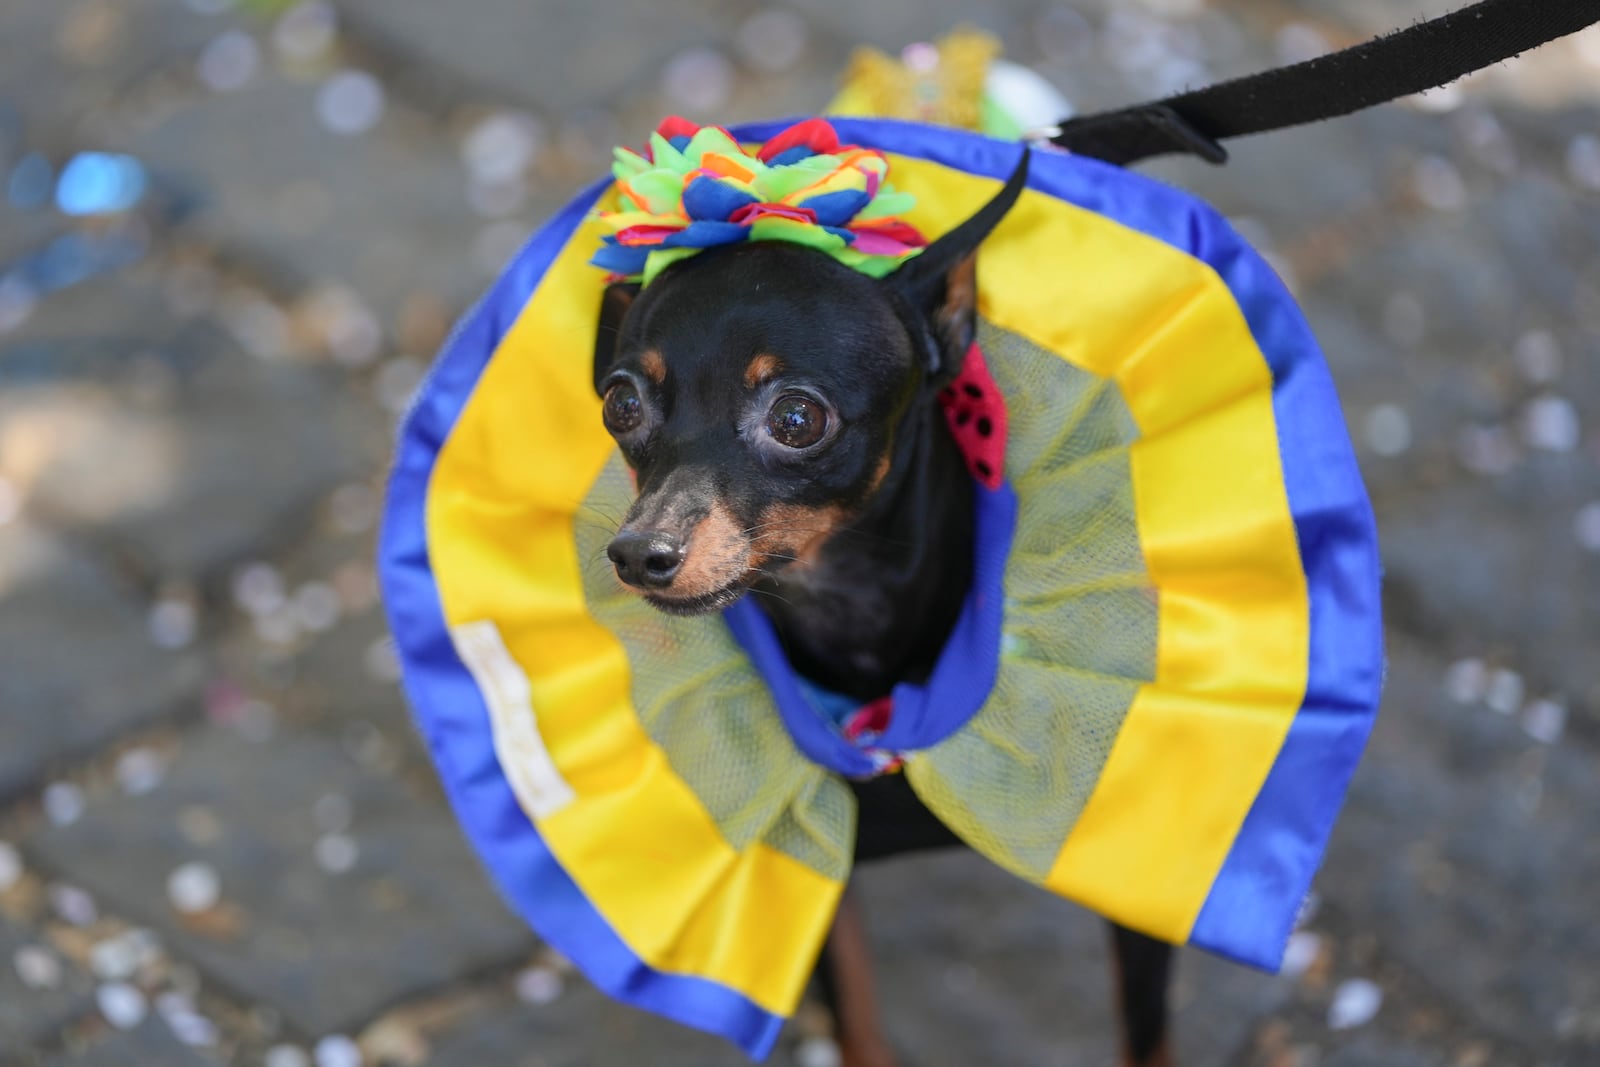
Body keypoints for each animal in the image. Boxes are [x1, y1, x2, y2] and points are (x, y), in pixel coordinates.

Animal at [588, 151, 1177, 1067]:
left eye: (798, 417)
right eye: (621, 403)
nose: (641, 552)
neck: (849, 609)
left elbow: (1150, 1037)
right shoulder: (817, 872)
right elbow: (860, 1022)